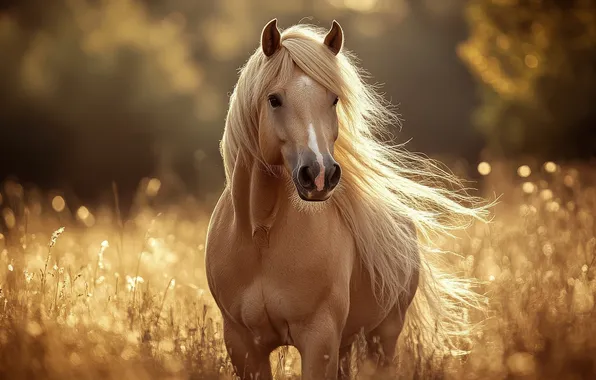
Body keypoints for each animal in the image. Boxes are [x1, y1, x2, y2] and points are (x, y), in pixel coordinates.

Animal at [205, 18, 488, 380]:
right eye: (274, 99)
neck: (261, 234)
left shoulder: (319, 339)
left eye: (334, 99)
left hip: (382, 336)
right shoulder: (243, 345)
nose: (320, 174)